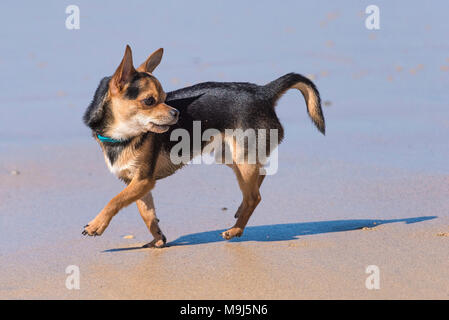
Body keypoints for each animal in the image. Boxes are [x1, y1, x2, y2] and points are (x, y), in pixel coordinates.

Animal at [82, 45, 324, 246]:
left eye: (164, 97)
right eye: (149, 101)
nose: (176, 113)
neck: (122, 136)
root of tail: (263, 92)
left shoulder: (143, 180)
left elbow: (115, 200)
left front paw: (96, 225)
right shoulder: (136, 183)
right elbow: (146, 212)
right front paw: (158, 239)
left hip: (242, 158)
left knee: (254, 197)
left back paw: (235, 230)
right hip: (230, 157)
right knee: (258, 179)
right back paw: (239, 212)